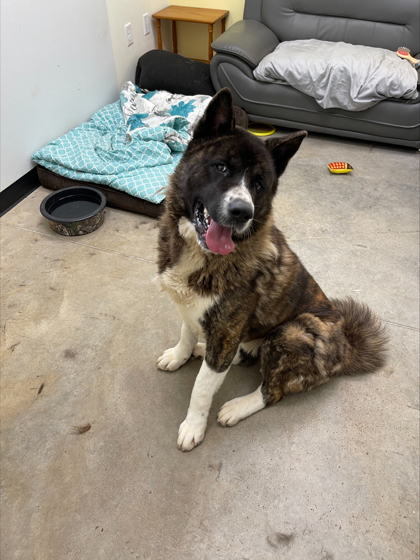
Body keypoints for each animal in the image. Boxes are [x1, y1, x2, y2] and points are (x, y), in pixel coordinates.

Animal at [157, 89, 388, 452]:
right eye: (221, 167)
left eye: (259, 184)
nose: (242, 211)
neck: (200, 250)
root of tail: (346, 349)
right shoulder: (195, 312)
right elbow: (186, 331)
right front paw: (180, 353)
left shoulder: (226, 332)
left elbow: (202, 389)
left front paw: (193, 425)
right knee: (240, 356)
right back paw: (202, 350)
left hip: (293, 331)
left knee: (271, 389)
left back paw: (238, 406)